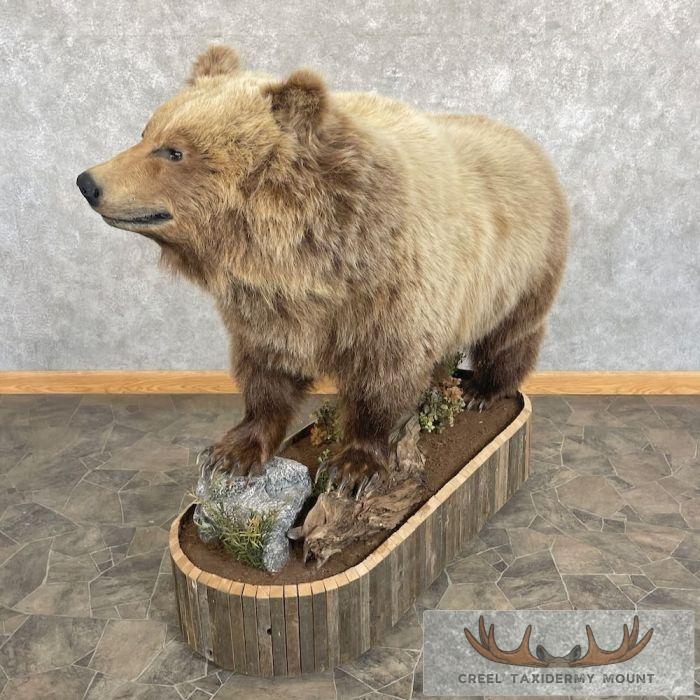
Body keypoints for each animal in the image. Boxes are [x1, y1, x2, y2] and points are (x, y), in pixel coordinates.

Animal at [77, 45, 568, 493]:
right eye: (145, 131)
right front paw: (233, 452)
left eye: (174, 151)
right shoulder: (268, 307)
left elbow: (382, 378)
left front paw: (354, 466)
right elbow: (266, 372)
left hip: (523, 264)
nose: (88, 181)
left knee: (512, 332)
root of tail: (528, 142)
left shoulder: (391, 289)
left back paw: (481, 390)